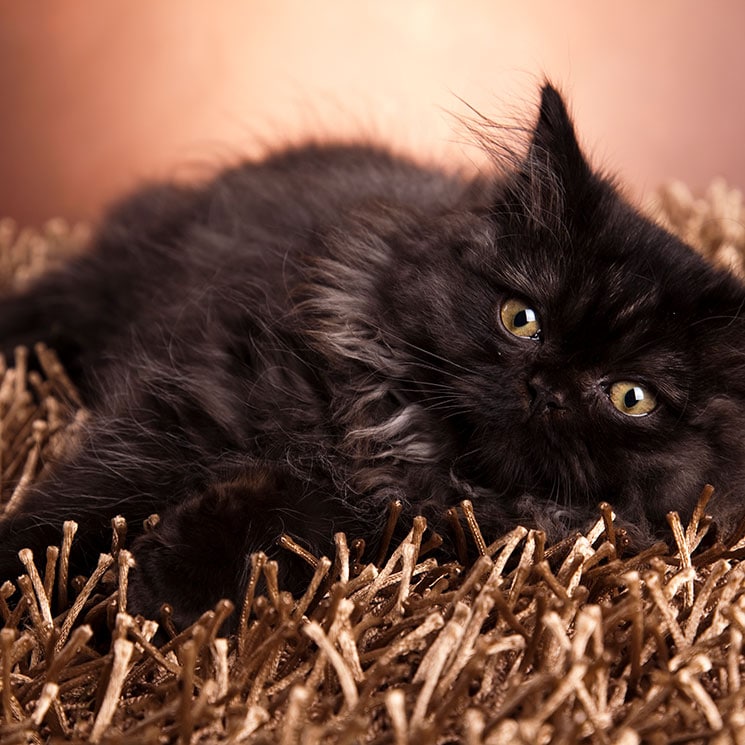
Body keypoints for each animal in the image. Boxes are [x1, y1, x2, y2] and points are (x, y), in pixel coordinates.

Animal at [1, 84, 744, 624]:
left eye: (631, 397)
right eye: (521, 319)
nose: (546, 389)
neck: (400, 441)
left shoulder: (390, 519)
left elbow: (283, 523)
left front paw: (161, 585)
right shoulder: (189, 414)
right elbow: (74, 510)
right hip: (97, 287)